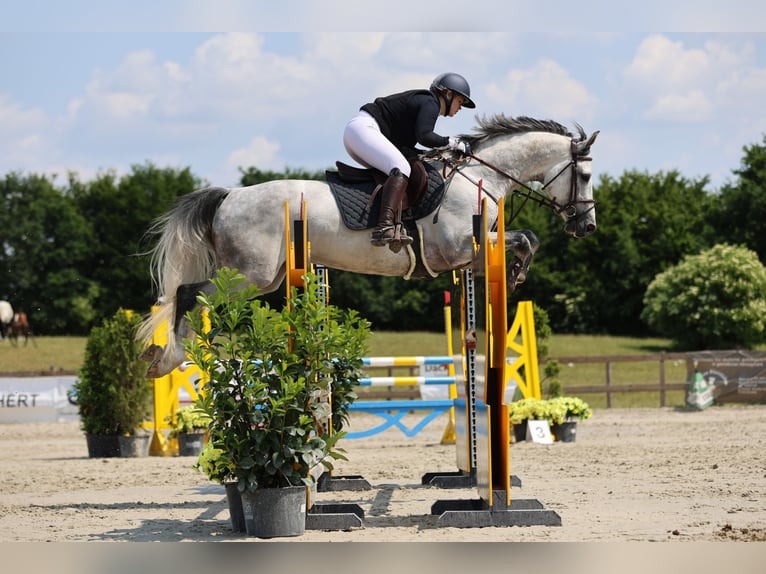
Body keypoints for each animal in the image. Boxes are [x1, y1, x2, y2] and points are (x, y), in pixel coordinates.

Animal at [141, 115, 604, 380]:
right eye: (583, 176)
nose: (587, 226)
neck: (479, 176)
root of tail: (230, 195)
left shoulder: (468, 255)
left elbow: (528, 239)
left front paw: (513, 274)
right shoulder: (458, 249)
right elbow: (524, 238)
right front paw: (516, 273)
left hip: (263, 277)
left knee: (199, 301)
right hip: (248, 275)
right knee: (188, 294)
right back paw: (169, 358)